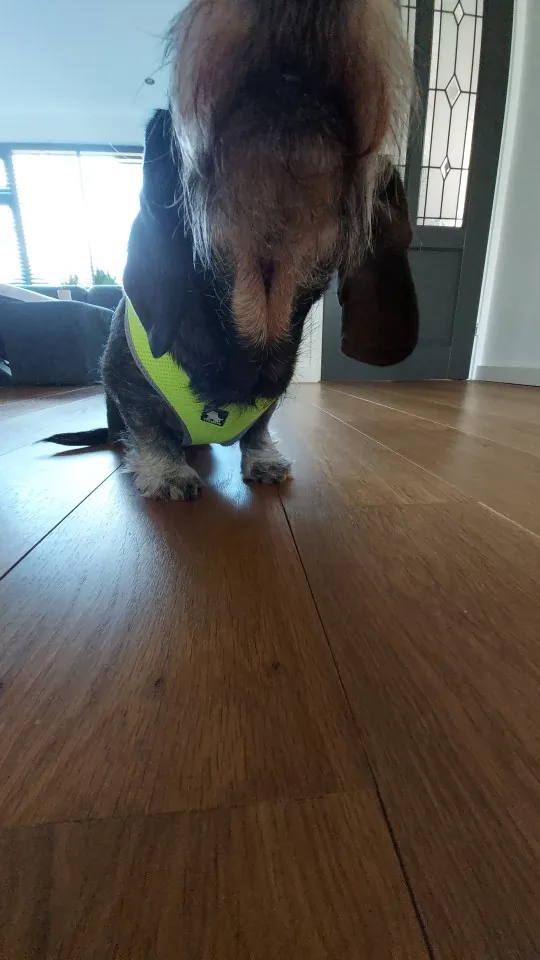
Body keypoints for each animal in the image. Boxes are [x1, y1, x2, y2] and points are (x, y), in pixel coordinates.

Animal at [47, 0, 416, 501]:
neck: (253, 324)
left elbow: (258, 427)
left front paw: (263, 458)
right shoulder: (121, 379)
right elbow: (147, 427)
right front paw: (166, 473)